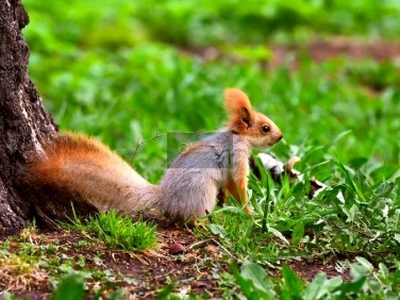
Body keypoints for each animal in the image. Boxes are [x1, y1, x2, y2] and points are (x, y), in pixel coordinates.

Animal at [27, 88, 282, 221]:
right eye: (265, 128)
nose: (280, 137)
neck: (238, 136)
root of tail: (164, 198)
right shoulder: (236, 158)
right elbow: (239, 185)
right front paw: (249, 213)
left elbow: (228, 187)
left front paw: (227, 202)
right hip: (201, 190)